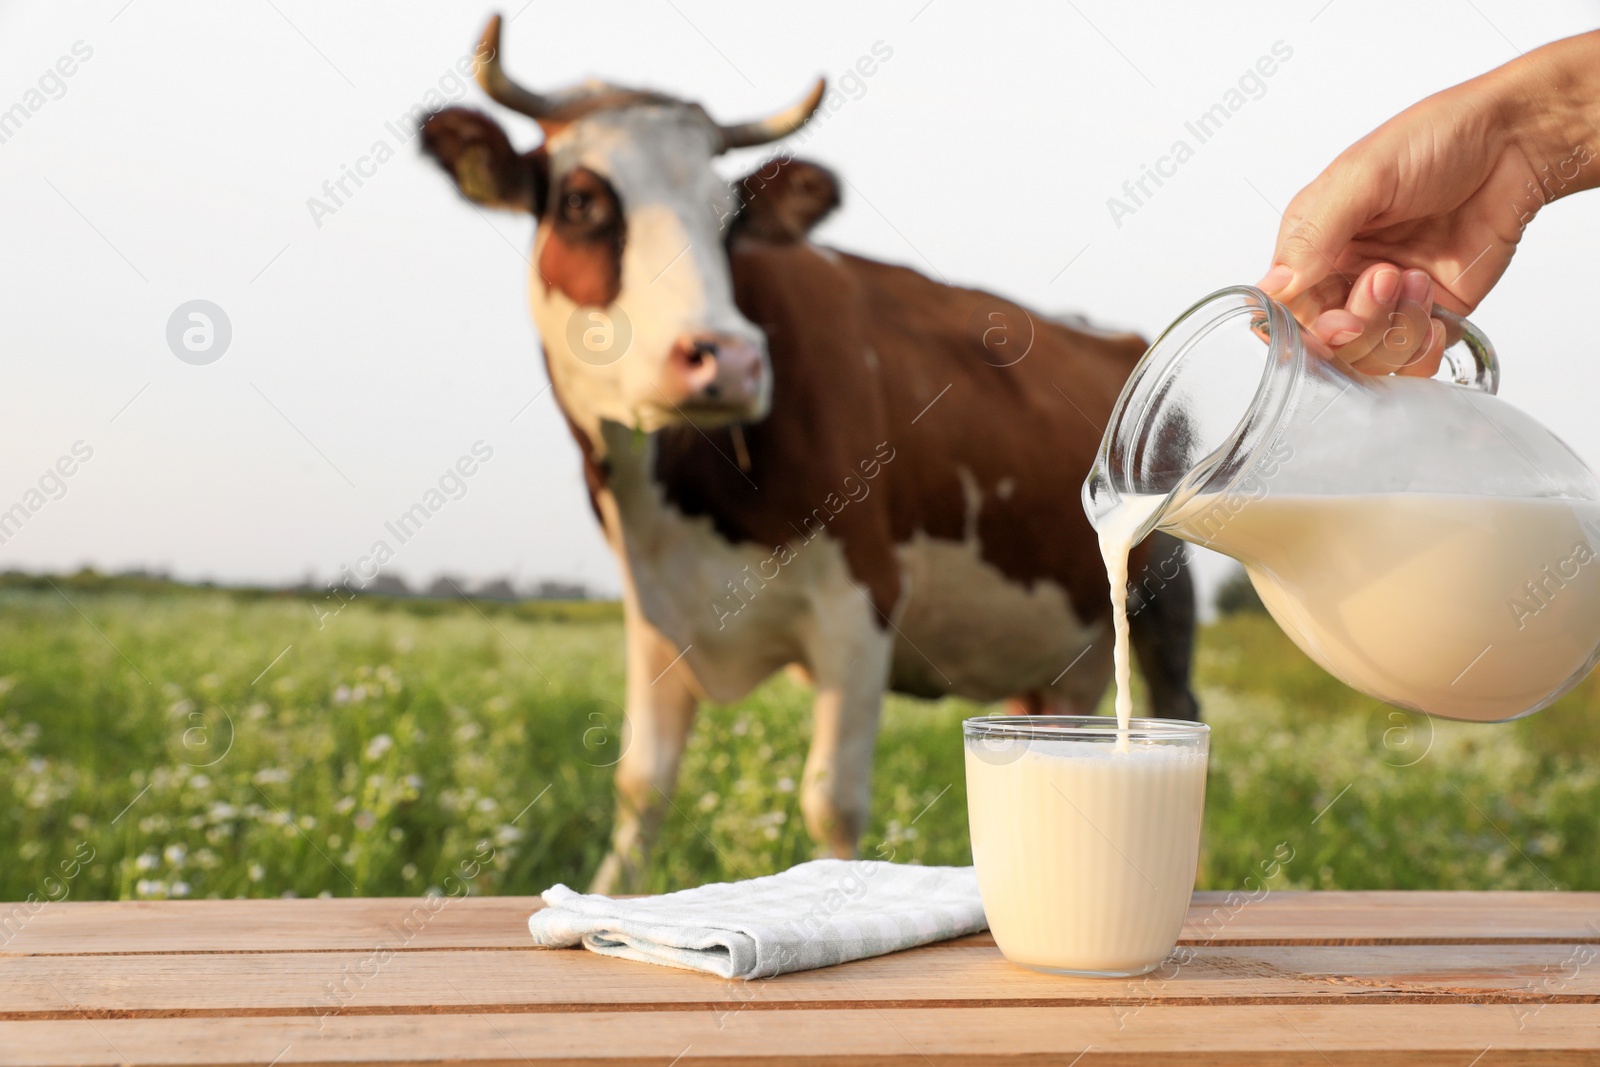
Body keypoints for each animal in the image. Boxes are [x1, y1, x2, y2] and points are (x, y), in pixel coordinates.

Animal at [425, 14, 1203, 895]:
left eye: (728, 216)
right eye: (581, 199)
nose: (728, 359)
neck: (681, 502)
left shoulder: (862, 605)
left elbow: (832, 803)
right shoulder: (653, 613)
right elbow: (640, 784)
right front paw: (604, 897)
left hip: (1164, 603)